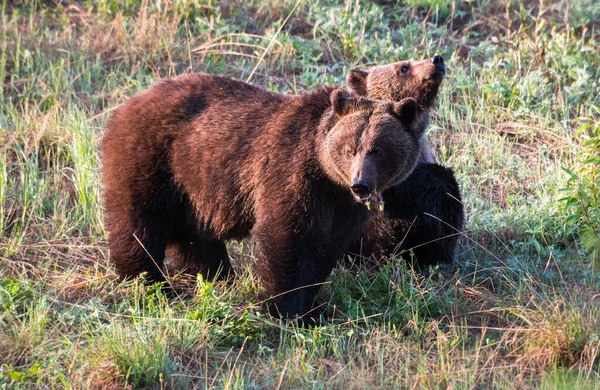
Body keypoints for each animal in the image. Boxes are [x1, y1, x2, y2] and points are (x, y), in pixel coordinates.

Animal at [101, 74, 424, 322]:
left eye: (378, 149)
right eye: (349, 148)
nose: (361, 184)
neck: (327, 177)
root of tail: (126, 104)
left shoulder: (341, 206)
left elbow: (327, 247)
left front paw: (313, 305)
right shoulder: (292, 174)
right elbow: (287, 237)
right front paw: (289, 310)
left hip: (192, 181)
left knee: (194, 234)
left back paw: (217, 275)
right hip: (151, 159)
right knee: (139, 224)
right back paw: (149, 282)